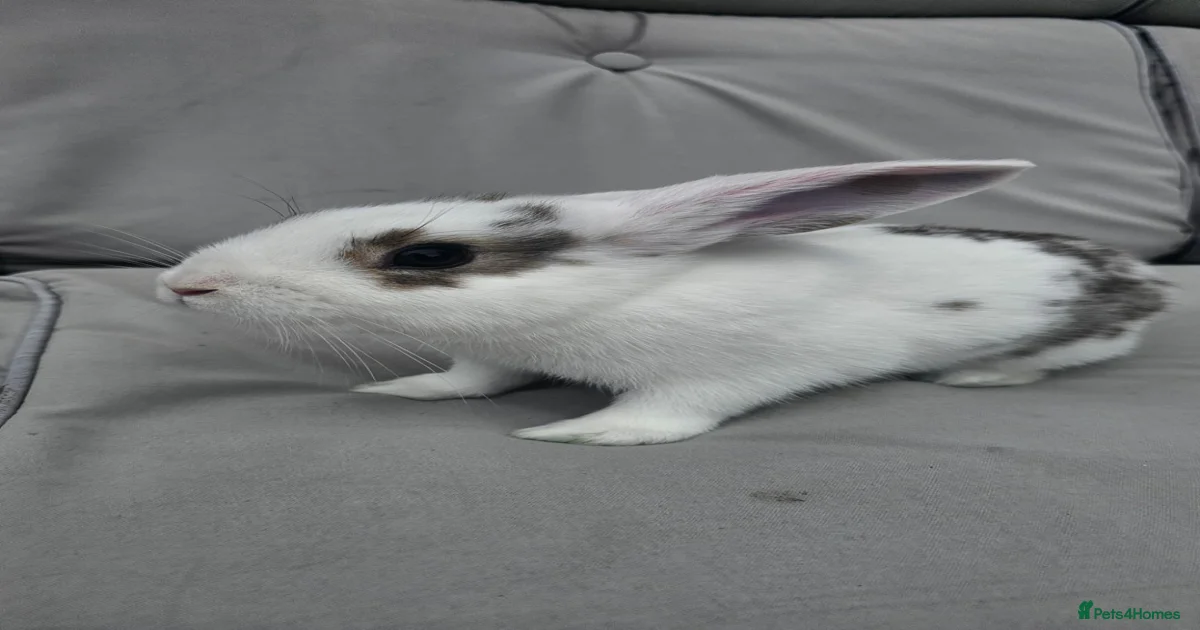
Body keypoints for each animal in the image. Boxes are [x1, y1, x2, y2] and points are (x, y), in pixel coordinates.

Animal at [156, 159, 1175, 446]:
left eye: (429, 254)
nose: (181, 284)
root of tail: (1139, 274)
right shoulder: (494, 353)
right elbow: (470, 378)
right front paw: (408, 391)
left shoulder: (720, 376)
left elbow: (662, 416)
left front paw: (576, 434)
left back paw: (988, 378)